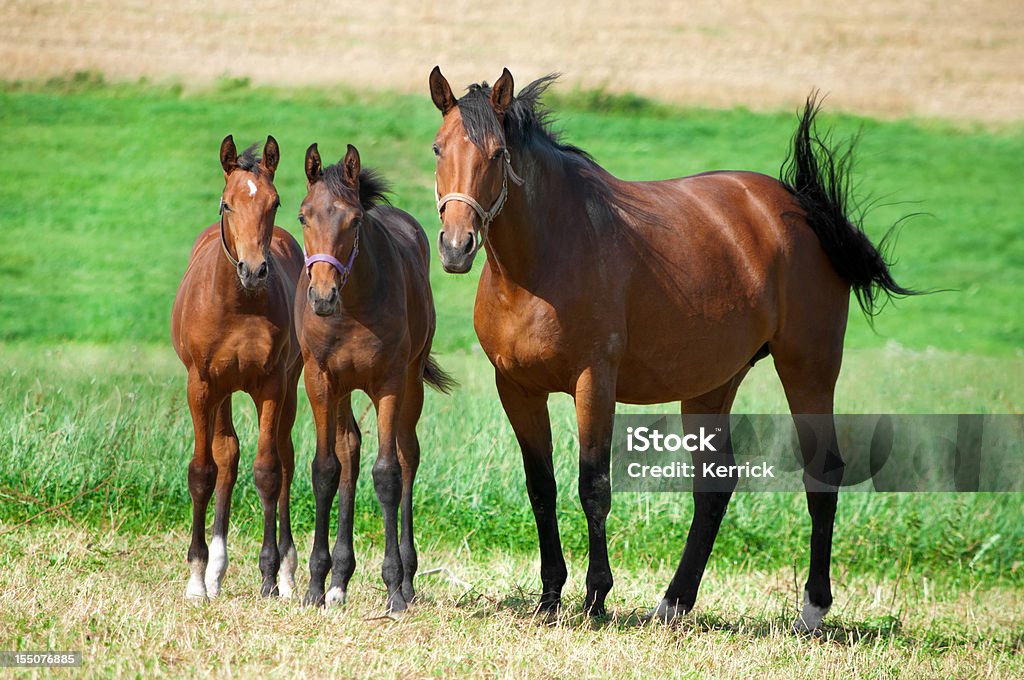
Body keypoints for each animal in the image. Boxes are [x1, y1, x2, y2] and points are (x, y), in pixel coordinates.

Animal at [167, 135, 301, 598]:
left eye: (275, 203)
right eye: (227, 204)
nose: (254, 269)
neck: (240, 304)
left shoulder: (272, 384)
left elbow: (269, 470)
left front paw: (270, 575)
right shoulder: (201, 383)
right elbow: (203, 471)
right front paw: (195, 577)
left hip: (290, 385)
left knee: (285, 457)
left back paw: (287, 573)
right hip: (222, 389)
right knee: (226, 453)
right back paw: (215, 572)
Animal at [296, 143, 456, 610]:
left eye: (354, 220)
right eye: (303, 216)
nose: (322, 296)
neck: (351, 308)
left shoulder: (388, 382)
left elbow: (387, 475)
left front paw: (394, 587)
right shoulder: (320, 380)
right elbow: (325, 470)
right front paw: (316, 585)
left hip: (411, 384)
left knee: (407, 456)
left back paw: (407, 578)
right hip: (344, 389)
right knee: (349, 450)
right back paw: (339, 580)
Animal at [428, 69, 917, 630]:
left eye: (497, 154)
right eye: (438, 148)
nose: (456, 246)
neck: (542, 261)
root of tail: (802, 207)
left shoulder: (594, 383)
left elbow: (593, 486)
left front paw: (596, 599)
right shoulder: (516, 388)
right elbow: (541, 488)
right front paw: (550, 598)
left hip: (808, 368)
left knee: (824, 471)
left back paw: (811, 610)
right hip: (711, 385)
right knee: (714, 486)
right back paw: (674, 603)